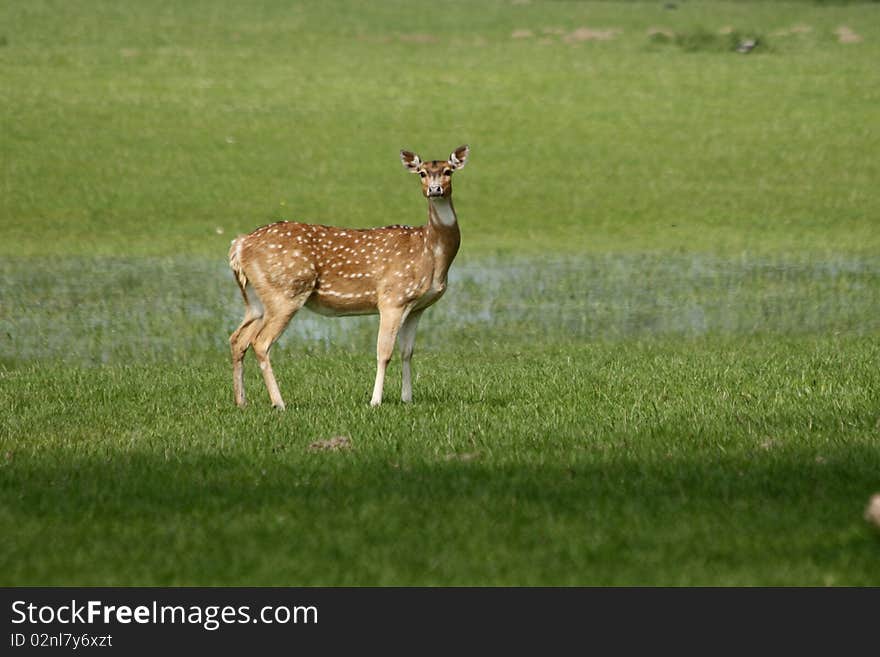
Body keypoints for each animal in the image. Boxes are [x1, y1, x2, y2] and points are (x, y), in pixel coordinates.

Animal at [230, 145, 470, 408]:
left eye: (448, 171)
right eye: (422, 173)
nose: (434, 190)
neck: (430, 251)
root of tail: (240, 245)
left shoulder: (417, 306)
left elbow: (407, 352)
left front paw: (407, 399)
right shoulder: (392, 297)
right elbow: (384, 352)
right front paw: (375, 401)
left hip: (255, 299)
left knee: (237, 339)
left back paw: (241, 402)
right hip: (285, 292)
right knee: (260, 342)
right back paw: (279, 403)